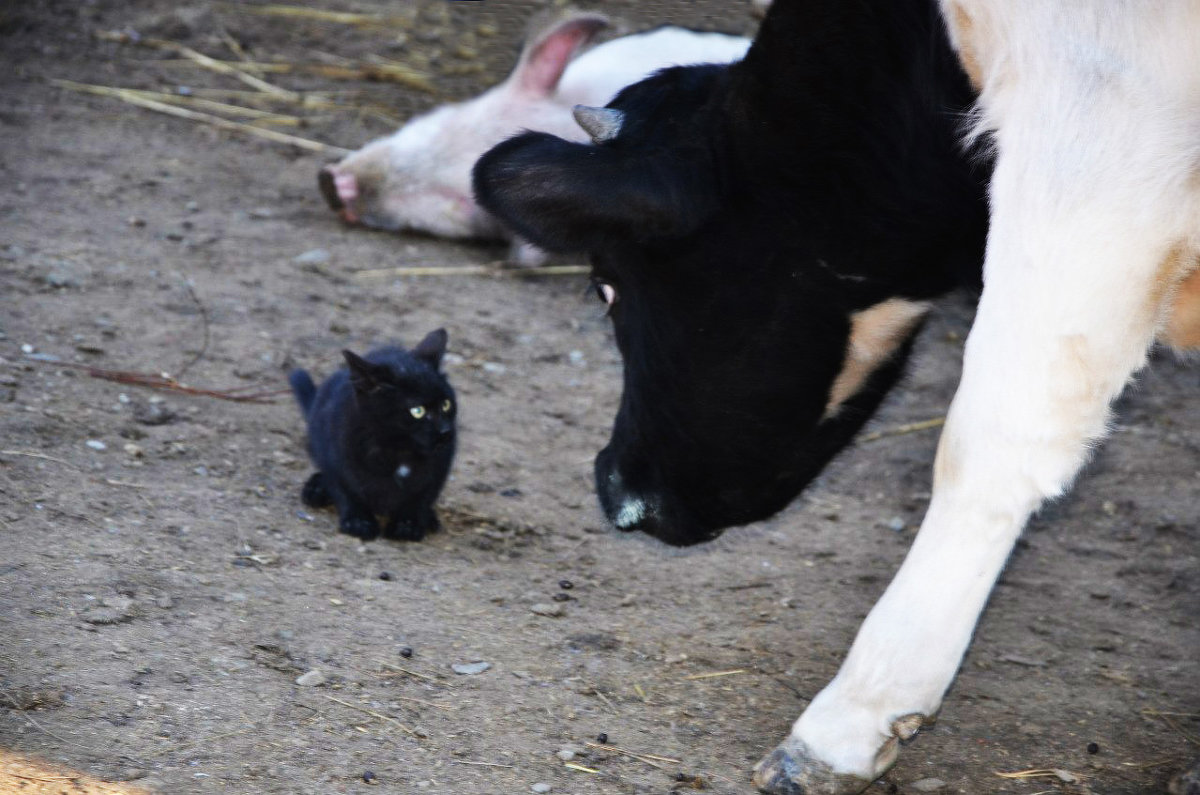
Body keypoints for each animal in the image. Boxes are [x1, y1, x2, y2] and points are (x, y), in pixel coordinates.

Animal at [290, 329, 458, 542]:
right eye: (417, 411)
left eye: (446, 404)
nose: (446, 431)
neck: (398, 448)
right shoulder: (335, 454)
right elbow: (347, 489)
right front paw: (358, 522)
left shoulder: (441, 464)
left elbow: (422, 495)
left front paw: (407, 524)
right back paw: (316, 489)